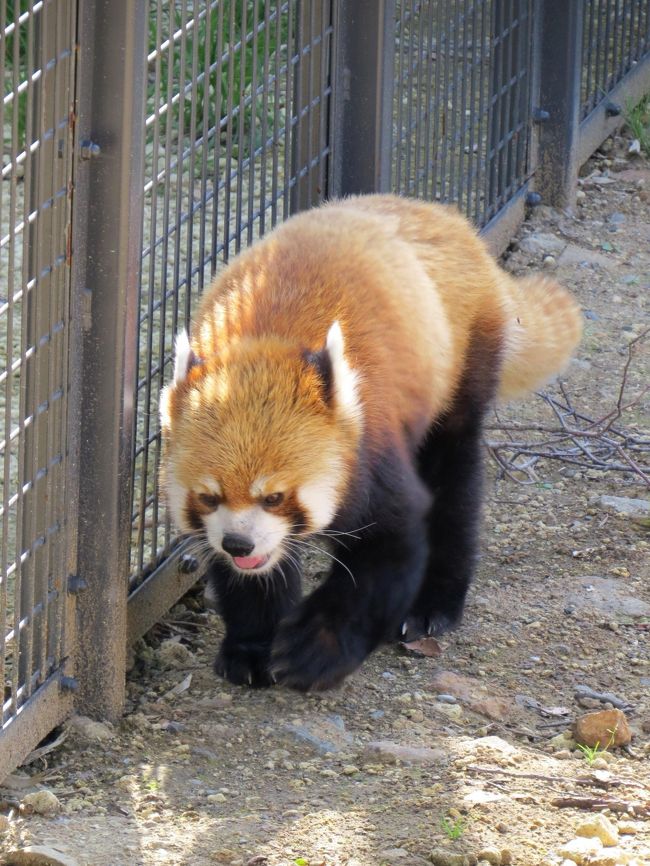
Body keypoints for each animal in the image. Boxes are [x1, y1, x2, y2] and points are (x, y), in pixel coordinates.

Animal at [158, 194, 584, 688]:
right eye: (209, 497)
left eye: (275, 497)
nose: (238, 544)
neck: (264, 342)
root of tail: (444, 217)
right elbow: (250, 578)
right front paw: (252, 645)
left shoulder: (371, 448)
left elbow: (390, 550)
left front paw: (315, 647)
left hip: (460, 367)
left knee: (454, 483)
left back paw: (434, 605)